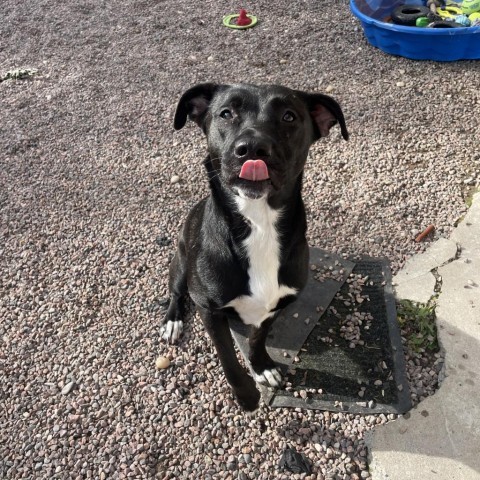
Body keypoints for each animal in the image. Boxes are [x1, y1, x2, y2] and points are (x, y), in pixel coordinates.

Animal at [162, 83, 348, 412]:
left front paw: (262, 367)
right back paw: (173, 320)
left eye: (289, 116)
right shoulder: (209, 309)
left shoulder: (277, 302)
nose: (251, 148)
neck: (258, 224)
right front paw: (246, 394)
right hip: (181, 260)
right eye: (226, 113)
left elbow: (257, 337)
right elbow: (227, 357)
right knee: (176, 291)